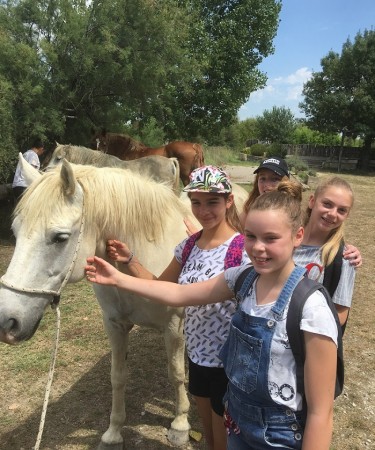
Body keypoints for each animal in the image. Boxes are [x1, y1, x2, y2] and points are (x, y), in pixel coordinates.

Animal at [0, 156, 197, 448]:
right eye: (15, 231)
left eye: (60, 237)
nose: (6, 322)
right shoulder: (114, 325)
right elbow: (117, 377)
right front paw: (113, 433)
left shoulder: (174, 325)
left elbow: (176, 373)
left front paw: (180, 423)